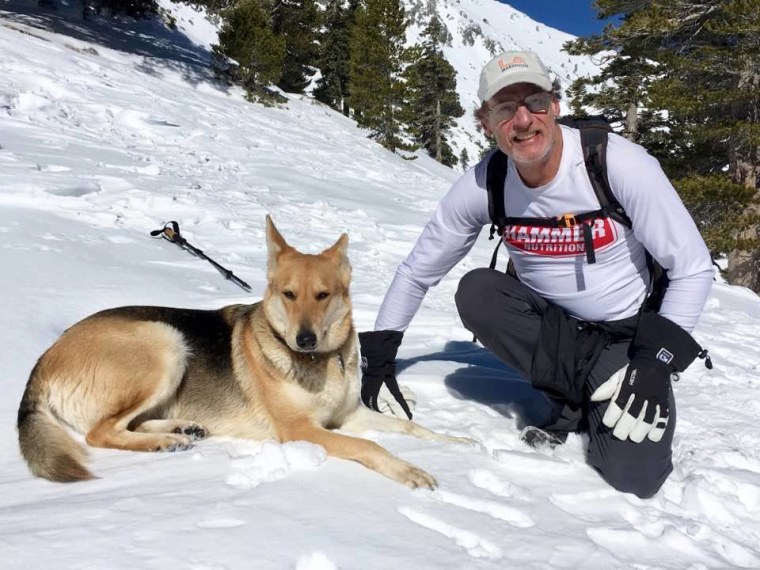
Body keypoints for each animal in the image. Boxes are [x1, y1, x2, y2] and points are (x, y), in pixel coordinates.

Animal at [16, 215, 470, 486]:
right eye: (288, 294)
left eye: (323, 295)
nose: (305, 339)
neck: (320, 362)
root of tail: (44, 361)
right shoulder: (300, 430)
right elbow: (370, 446)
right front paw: (409, 469)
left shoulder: (351, 415)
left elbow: (411, 428)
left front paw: (456, 441)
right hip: (165, 343)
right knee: (100, 432)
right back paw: (163, 442)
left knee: (126, 424)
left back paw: (181, 429)